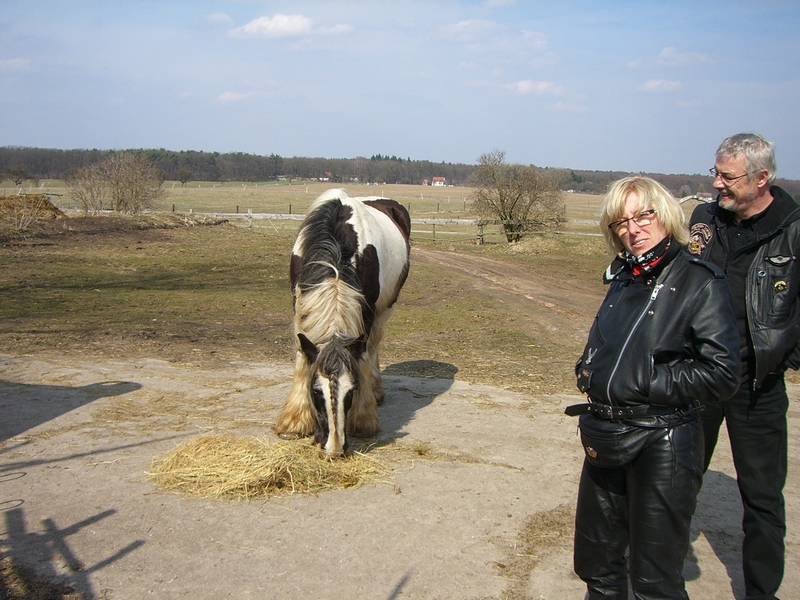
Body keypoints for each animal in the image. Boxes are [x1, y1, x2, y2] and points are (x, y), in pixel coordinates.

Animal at [275, 188, 411, 457]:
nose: (334, 448)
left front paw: (364, 418)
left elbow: (363, 356)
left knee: (374, 345)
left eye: (352, 390)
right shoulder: (299, 301)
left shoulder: (367, 309)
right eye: (316, 390)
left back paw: (376, 391)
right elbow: (302, 354)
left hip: (385, 308)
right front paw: (295, 420)